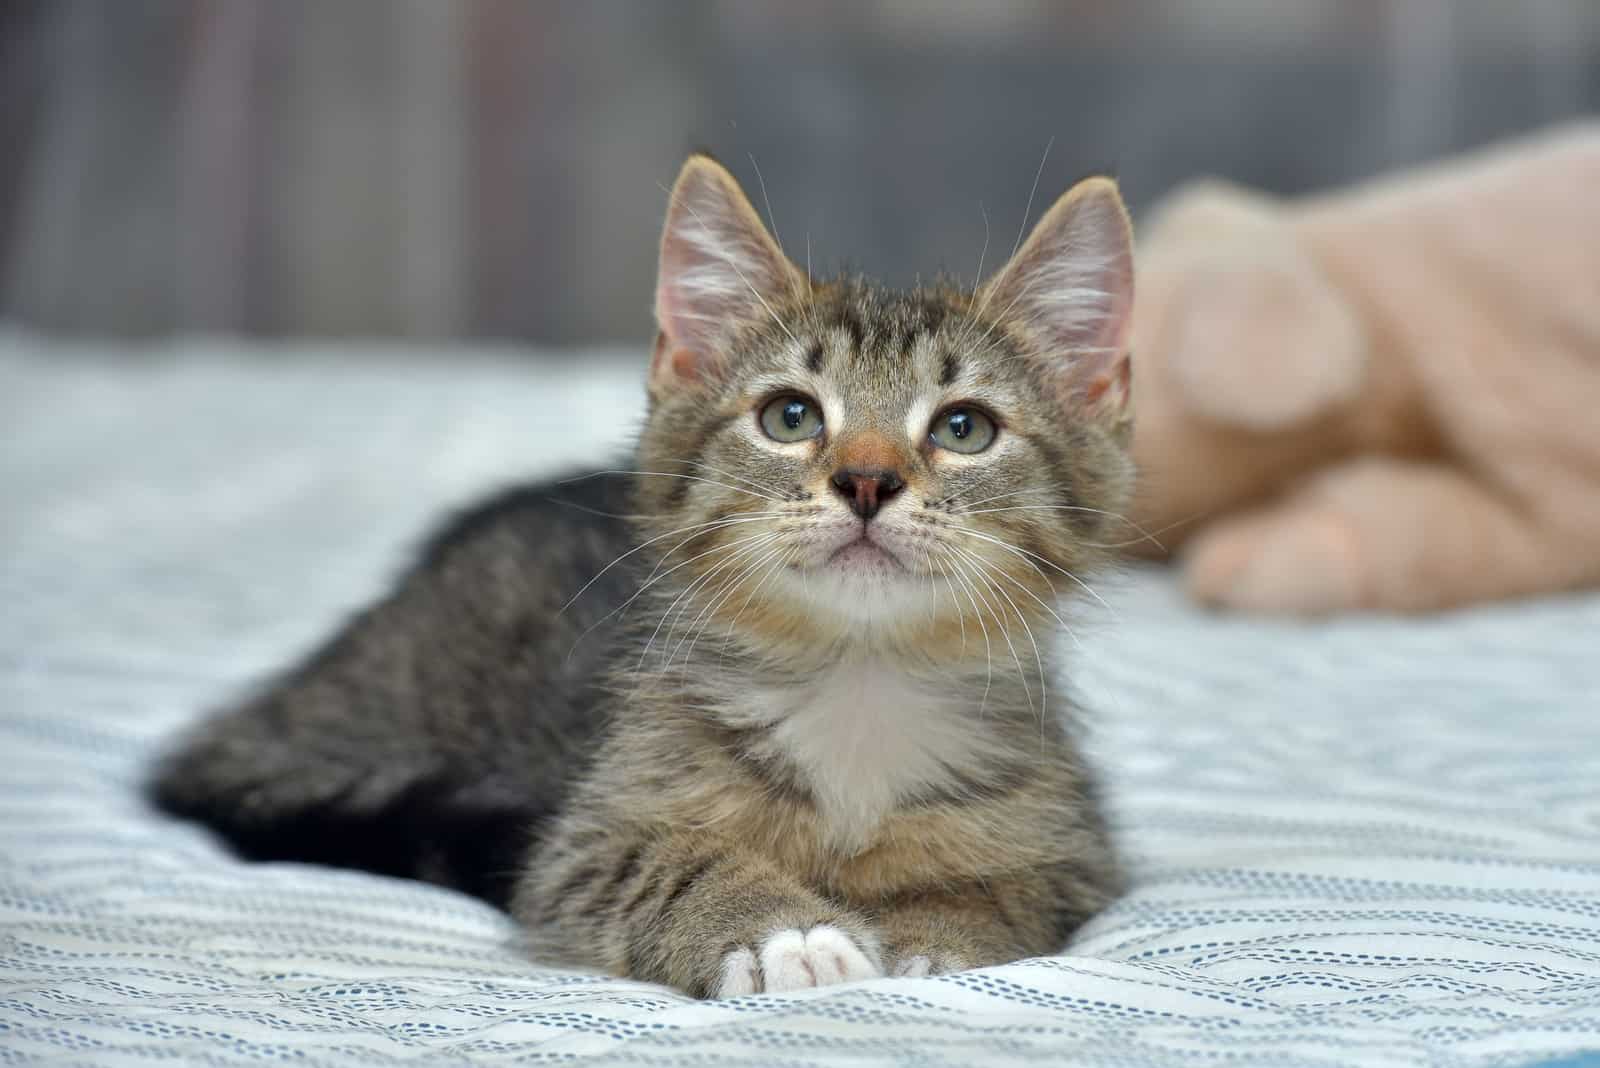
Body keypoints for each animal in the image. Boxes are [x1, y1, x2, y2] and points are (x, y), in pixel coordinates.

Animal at [152, 154, 1139, 997]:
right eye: (790, 416)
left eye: (964, 428)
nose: (866, 480)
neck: (860, 687)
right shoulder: (580, 842)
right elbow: (659, 864)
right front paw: (783, 932)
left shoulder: (1075, 850)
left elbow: (1011, 890)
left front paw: (934, 931)